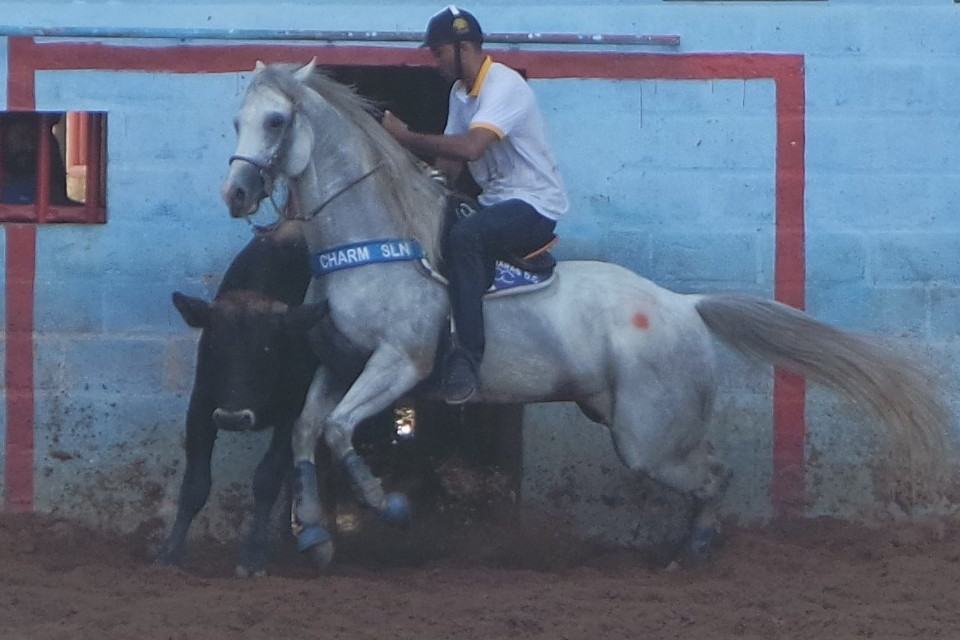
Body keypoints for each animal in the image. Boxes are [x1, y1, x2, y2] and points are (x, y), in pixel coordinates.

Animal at [221, 60, 954, 569]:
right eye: (236, 121)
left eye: (276, 122)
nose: (236, 193)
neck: (375, 244)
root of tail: (685, 306)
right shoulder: (341, 362)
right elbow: (308, 430)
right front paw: (315, 536)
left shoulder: (400, 365)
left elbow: (339, 431)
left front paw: (387, 505)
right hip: (626, 420)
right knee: (710, 472)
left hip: (646, 438)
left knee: (713, 473)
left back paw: (693, 555)